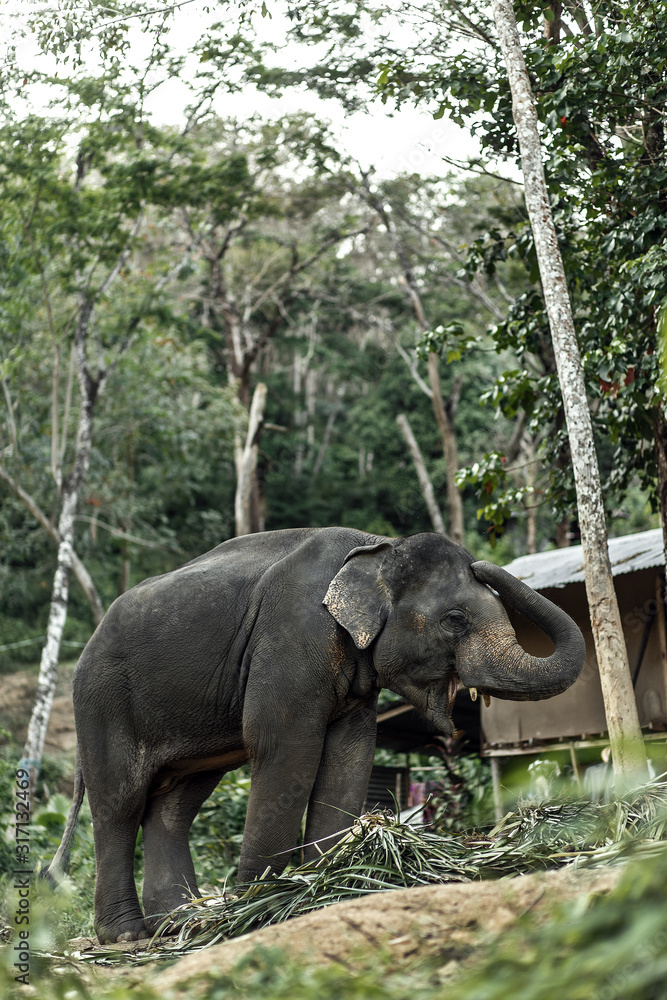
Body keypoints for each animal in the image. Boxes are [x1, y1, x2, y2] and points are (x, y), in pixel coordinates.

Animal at [46, 527, 585, 944]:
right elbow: (286, 750)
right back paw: (128, 935)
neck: (377, 548)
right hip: (102, 699)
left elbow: (349, 757)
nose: (486, 565)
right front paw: (259, 909)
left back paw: (180, 924)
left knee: (175, 804)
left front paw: (325, 890)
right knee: (119, 802)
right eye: (456, 619)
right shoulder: (293, 637)